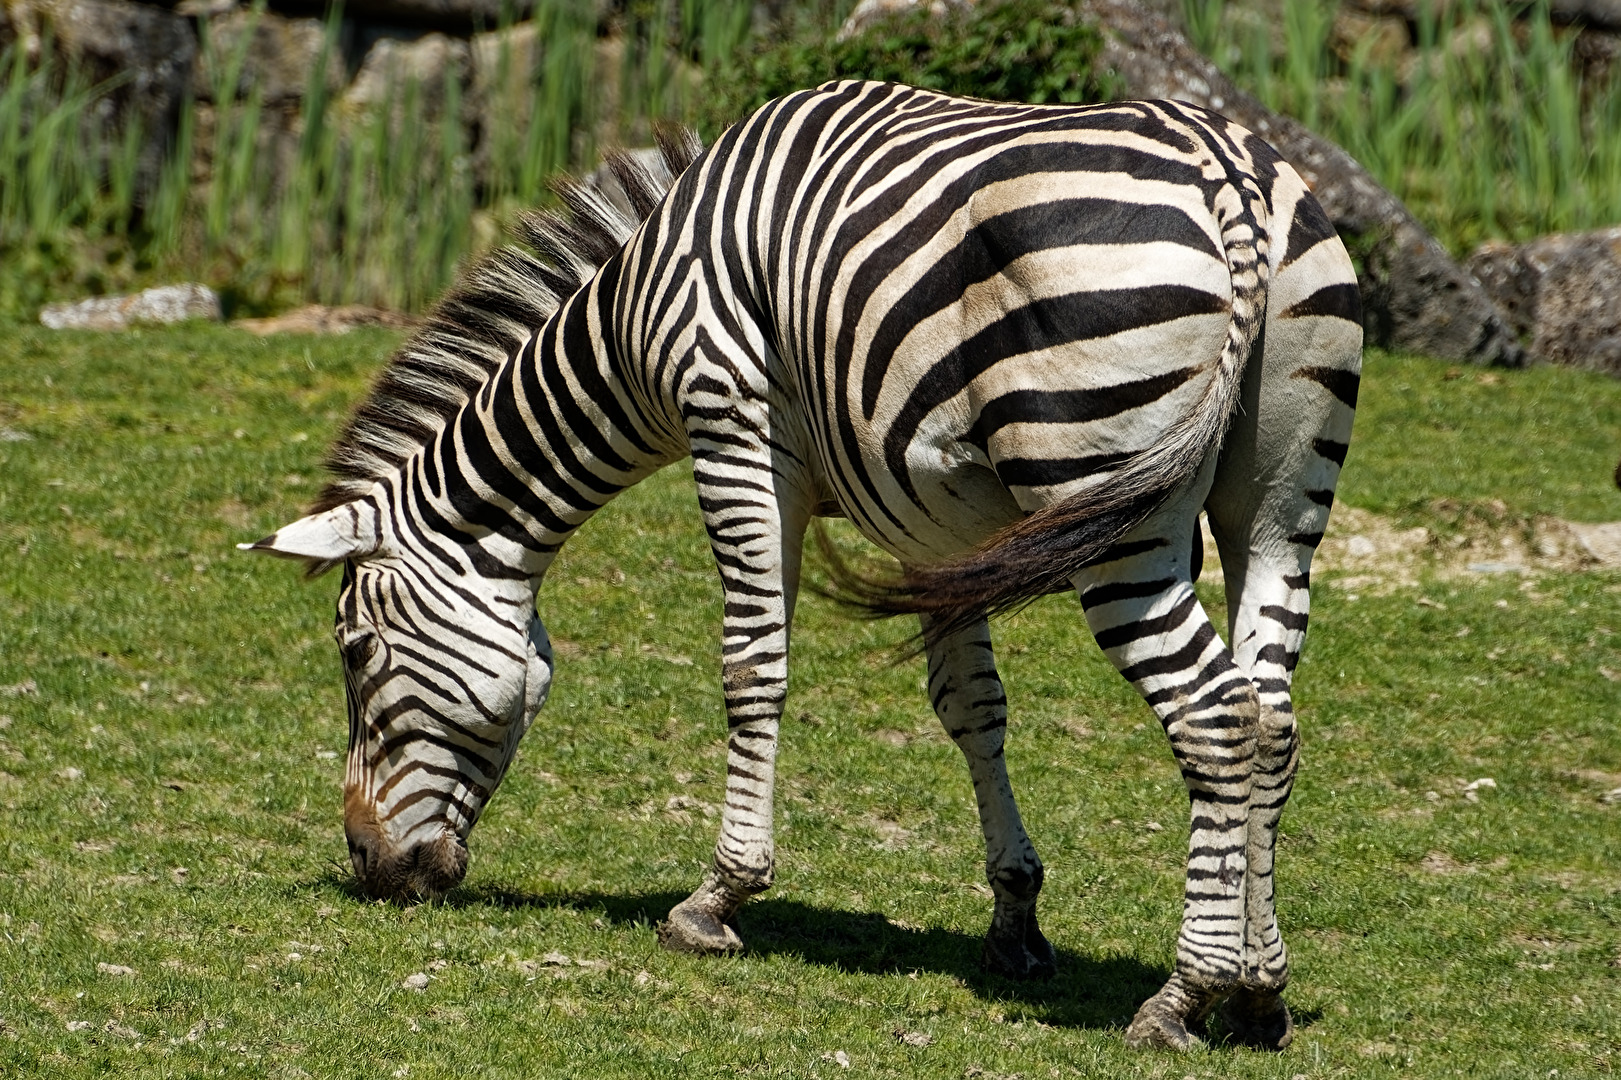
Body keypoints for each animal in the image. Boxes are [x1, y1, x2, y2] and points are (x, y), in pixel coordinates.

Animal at [242, 81, 1362, 1051]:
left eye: (355, 653)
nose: (369, 867)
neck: (638, 305)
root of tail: (1230, 177)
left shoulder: (731, 423)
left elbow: (752, 667)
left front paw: (716, 899)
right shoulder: (938, 525)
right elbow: (972, 706)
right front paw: (1013, 919)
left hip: (1102, 490)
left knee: (1215, 718)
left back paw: (1180, 997)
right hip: (1275, 502)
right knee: (1271, 718)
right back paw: (1259, 994)